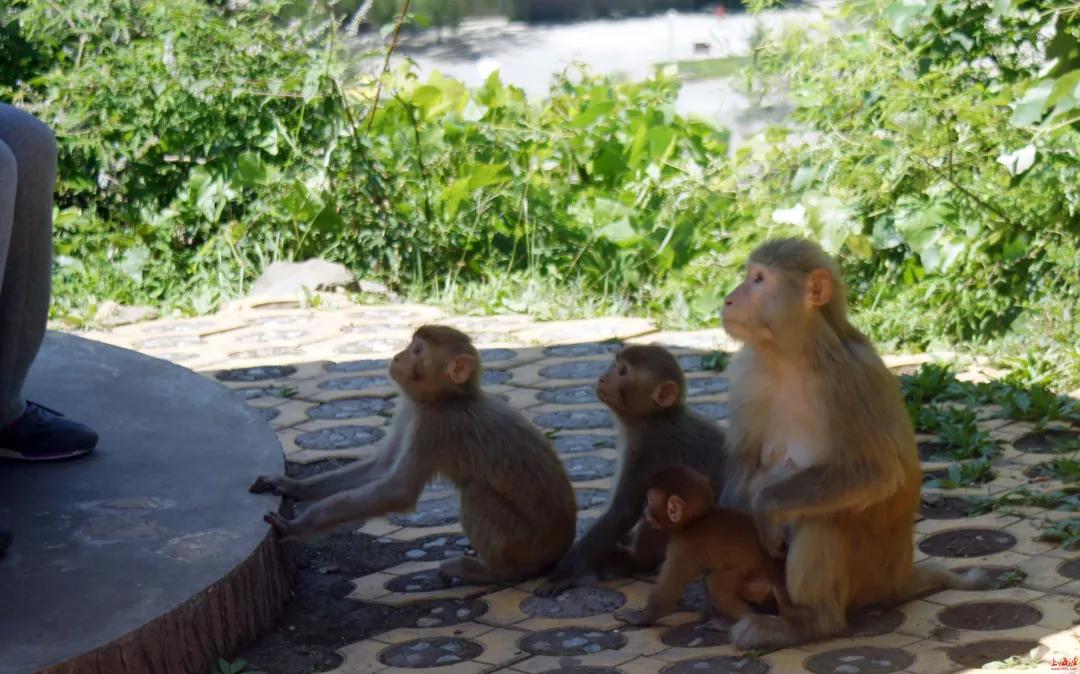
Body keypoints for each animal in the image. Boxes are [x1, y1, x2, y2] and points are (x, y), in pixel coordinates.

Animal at [249, 325, 577, 584]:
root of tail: (560, 548)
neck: (446, 398)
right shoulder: (411, 411)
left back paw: (495, 573)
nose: (397, 356)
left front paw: (301, 525)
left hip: (523, 543)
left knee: (475, 492)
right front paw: (290, 485)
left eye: (417, 350)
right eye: (411, 345)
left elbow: (398, 490)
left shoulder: (435, 428)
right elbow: (379, 468)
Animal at [535, 345, 728, 597]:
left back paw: (635, 561)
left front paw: (562, 574)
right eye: (615, 365)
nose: (603, 377)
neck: (655, 418)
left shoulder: (647, 452)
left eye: (623, 372)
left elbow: (622, 512)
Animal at [615, 466, 813, 630]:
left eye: (649, 502)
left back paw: (738, 621)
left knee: (715, 580)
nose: (645, 512)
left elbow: (667, 595)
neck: (696, 521)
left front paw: (641, 617)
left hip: (757, 584)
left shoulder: (684, 546)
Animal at [718, 237, 989, 650]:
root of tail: (901, 575)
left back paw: (810, 622)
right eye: (749, 275)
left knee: (823, 519)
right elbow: (744, 466)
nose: (730, 299)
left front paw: (765, 509)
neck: (793, 356)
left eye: (759, 279)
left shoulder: (849, 379)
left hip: (870, 576)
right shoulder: (749, 376)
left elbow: (878, 473)